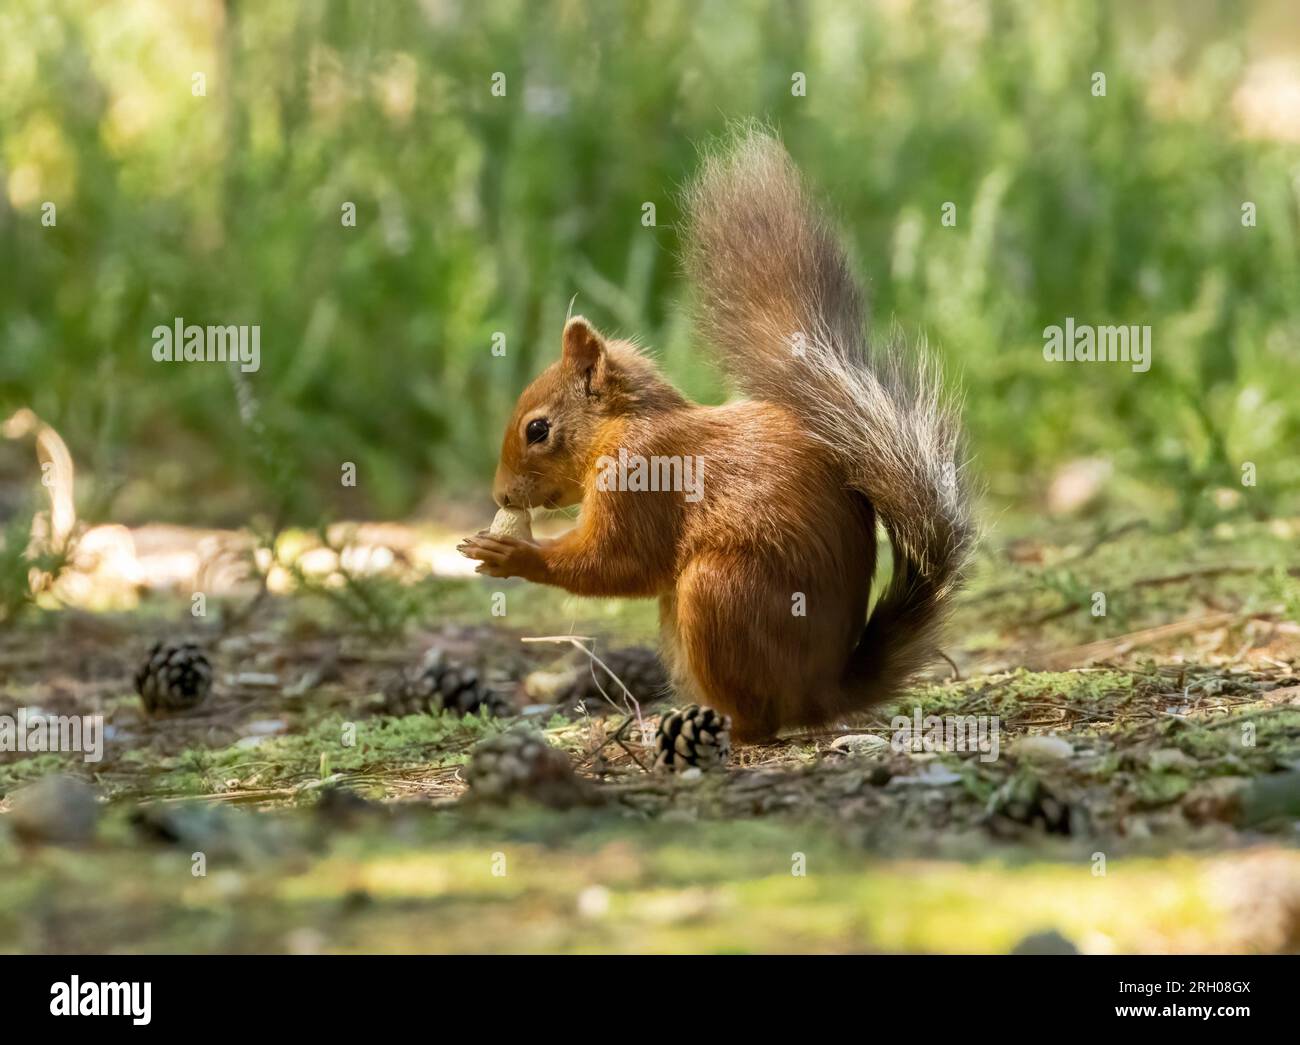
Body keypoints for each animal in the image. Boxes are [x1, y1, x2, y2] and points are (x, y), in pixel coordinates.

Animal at [462, 126, 972, 738]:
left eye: (537, 429)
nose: (501, 496)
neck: (625, 426)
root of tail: (822, 692)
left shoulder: (641, 476)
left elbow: (620, 564)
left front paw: (512, 553)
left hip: (720, 591)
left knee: (761, 717)